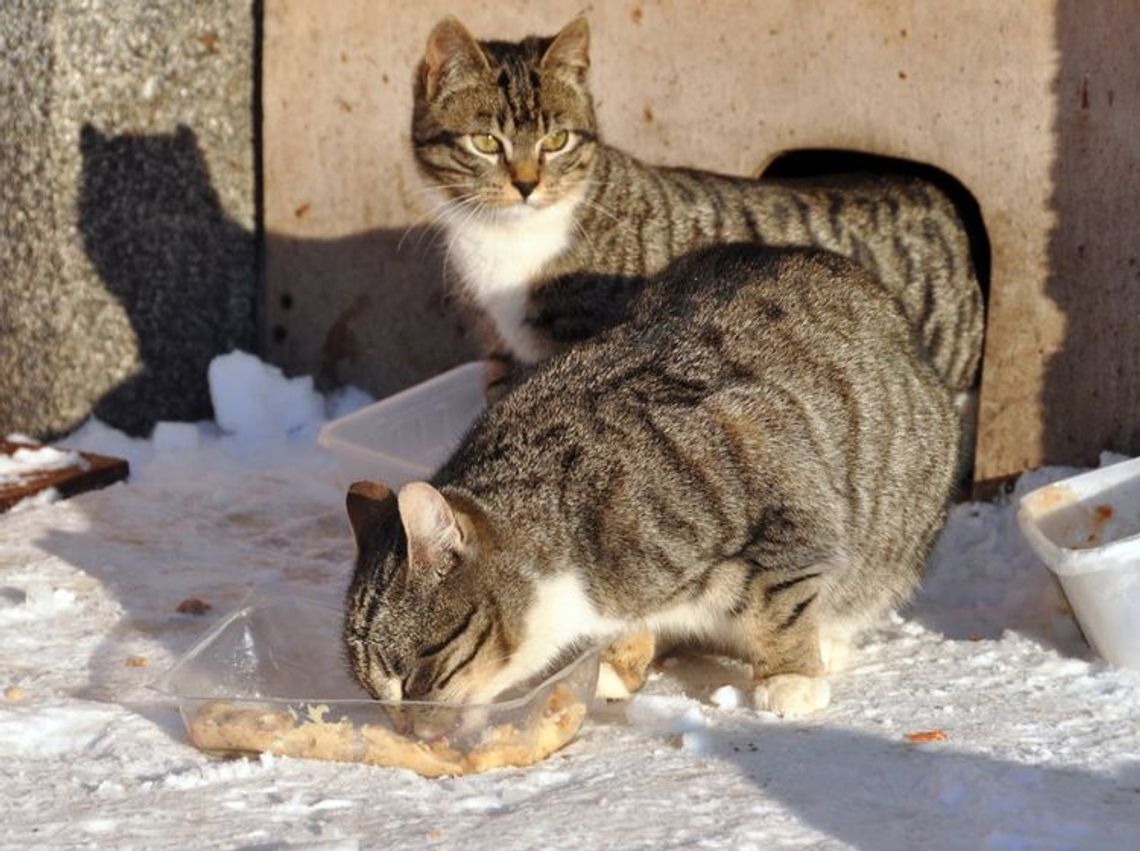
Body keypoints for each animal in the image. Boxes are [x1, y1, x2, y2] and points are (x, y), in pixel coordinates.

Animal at [339, 245, 962, 716]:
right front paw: (615, 666)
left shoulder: (778, 492)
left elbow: (781, 602)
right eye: (377, 693)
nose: (407, 727)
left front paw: (789, 678)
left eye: (415, 671)